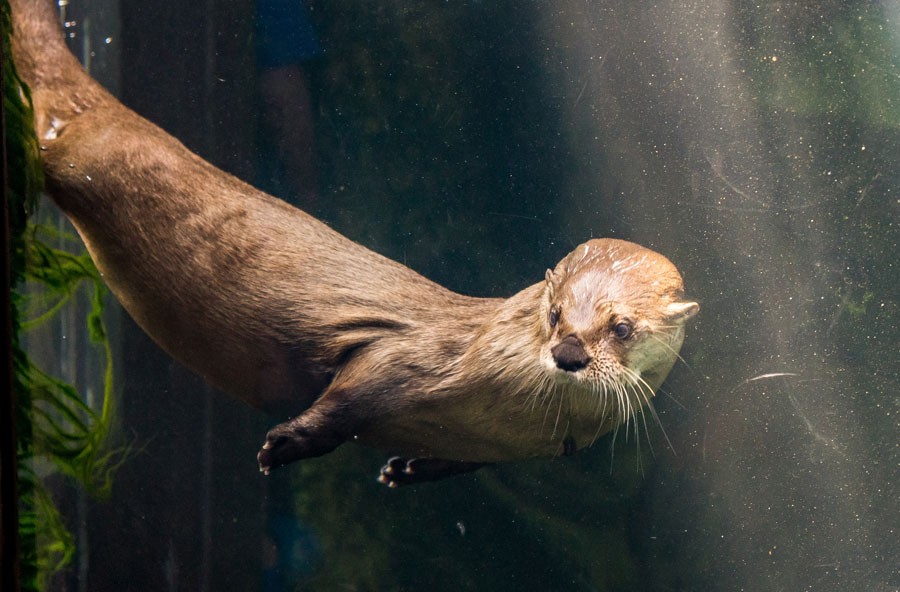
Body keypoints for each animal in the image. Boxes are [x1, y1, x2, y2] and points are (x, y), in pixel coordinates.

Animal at [10, 0, 698, 486]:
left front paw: (405, 468)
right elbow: (348, 397)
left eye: (622, 327)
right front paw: (284, 444)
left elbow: (458, 460)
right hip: (76, 155)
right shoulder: (404, 357)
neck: (504, 401)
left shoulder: (510, 447)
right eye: (556, 313)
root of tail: (97, 113)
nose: (569, 354)